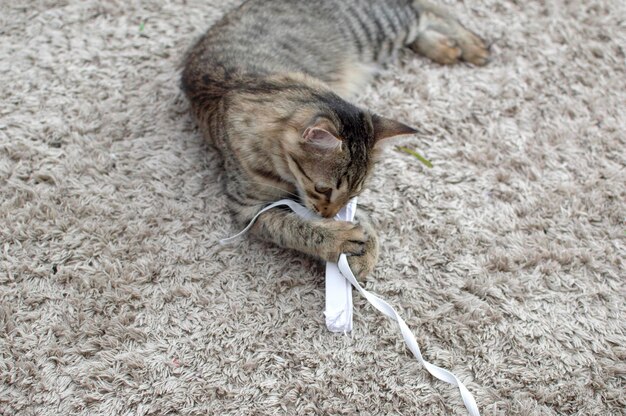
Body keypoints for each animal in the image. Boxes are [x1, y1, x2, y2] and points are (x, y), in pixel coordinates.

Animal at [180, 0, 488, 280]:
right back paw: (446, 47)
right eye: (322, 188)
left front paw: (364, 249)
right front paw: (339, 239)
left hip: (378, 30)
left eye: (355, 192)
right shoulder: (249, 208)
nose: (328, 215)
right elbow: (296, 227)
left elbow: (360, 217)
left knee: (429, 9)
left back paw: (470, 45)